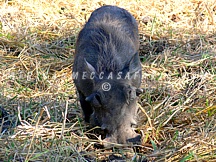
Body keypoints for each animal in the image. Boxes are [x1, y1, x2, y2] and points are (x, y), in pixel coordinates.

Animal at [73, 5, 143, 146]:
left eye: (130, 93)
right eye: (97, 98)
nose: (120, 143)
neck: (109, 67)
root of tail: (110, 6)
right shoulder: (81, 90)